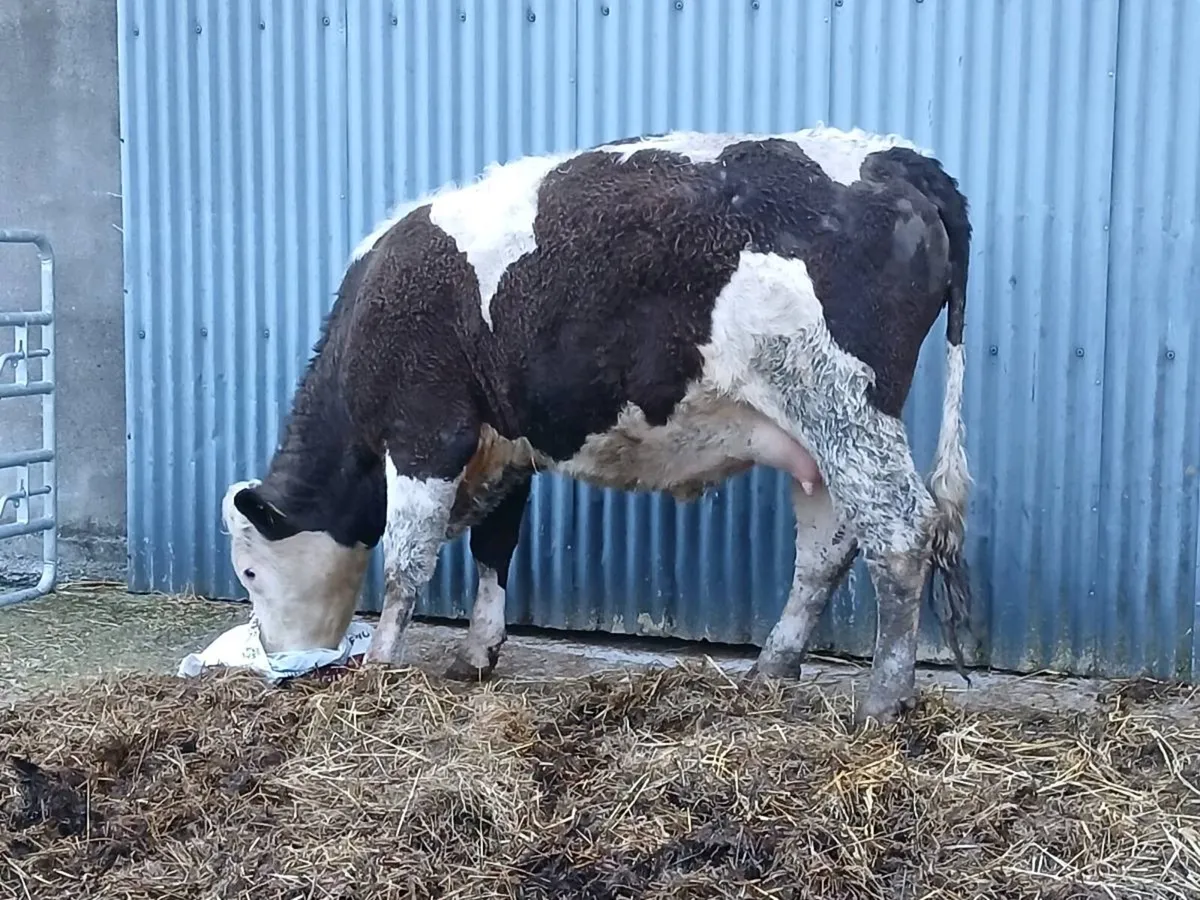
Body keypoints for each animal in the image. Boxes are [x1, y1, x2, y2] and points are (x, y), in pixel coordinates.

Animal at [221, 126, 975, 725]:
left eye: (251, 572)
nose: (280, 659)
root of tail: (896, 157)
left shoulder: (425, 434)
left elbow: (407, 562)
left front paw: (378, 667)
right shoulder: (505, 447)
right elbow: (494, 547)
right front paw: (477, 654)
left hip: (844, 406)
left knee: (900, 531)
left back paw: (883, 701)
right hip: (816, 436)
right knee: (826, 548)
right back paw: (770, 671)